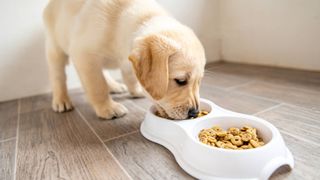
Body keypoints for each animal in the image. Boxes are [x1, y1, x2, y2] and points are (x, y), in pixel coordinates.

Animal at [43, 0, 205, 121]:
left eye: (199, 82)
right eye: (181, 81)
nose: (194, 113)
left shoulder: (128, 60)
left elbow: (130, 76)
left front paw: (136, 90)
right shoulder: (84, 54)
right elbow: (97, 86)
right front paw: (107, 108)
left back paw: (114, 86)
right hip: (55, 45)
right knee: (57, 74)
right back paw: (61, 100)